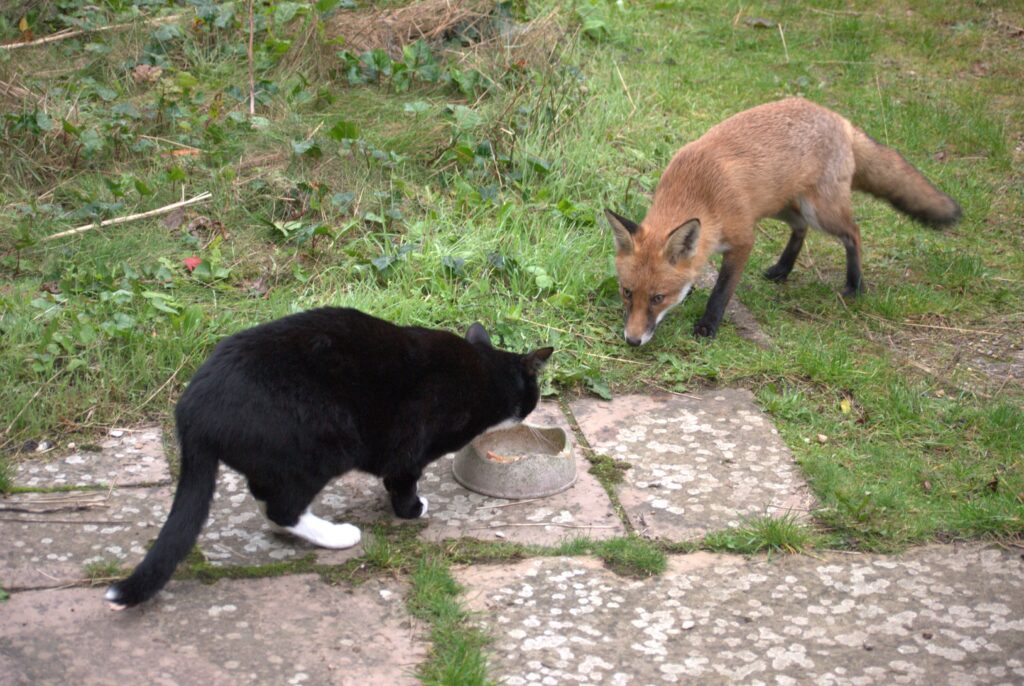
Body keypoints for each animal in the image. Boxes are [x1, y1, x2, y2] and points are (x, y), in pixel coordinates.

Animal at [105, 309, 552, 610]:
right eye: (533, 394)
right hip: (327, 441)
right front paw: (413, 509)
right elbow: (402, 478)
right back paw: (337, 535)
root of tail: (192, 412)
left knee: (266, 495)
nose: (533, 409)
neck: (483, 372)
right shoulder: (411, 441)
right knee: (282, 507)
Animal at [598, 97, 958, 346]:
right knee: (801, 229)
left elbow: (722, 290)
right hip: (782, 207)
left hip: (820, 211)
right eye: (627, 292)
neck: (699, 192)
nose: (632, 340)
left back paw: (855, 285)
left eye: (658, 298)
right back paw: (783, 269)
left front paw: (707, 326)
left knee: (853, 232)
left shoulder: (743, 240)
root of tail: (839, 119)